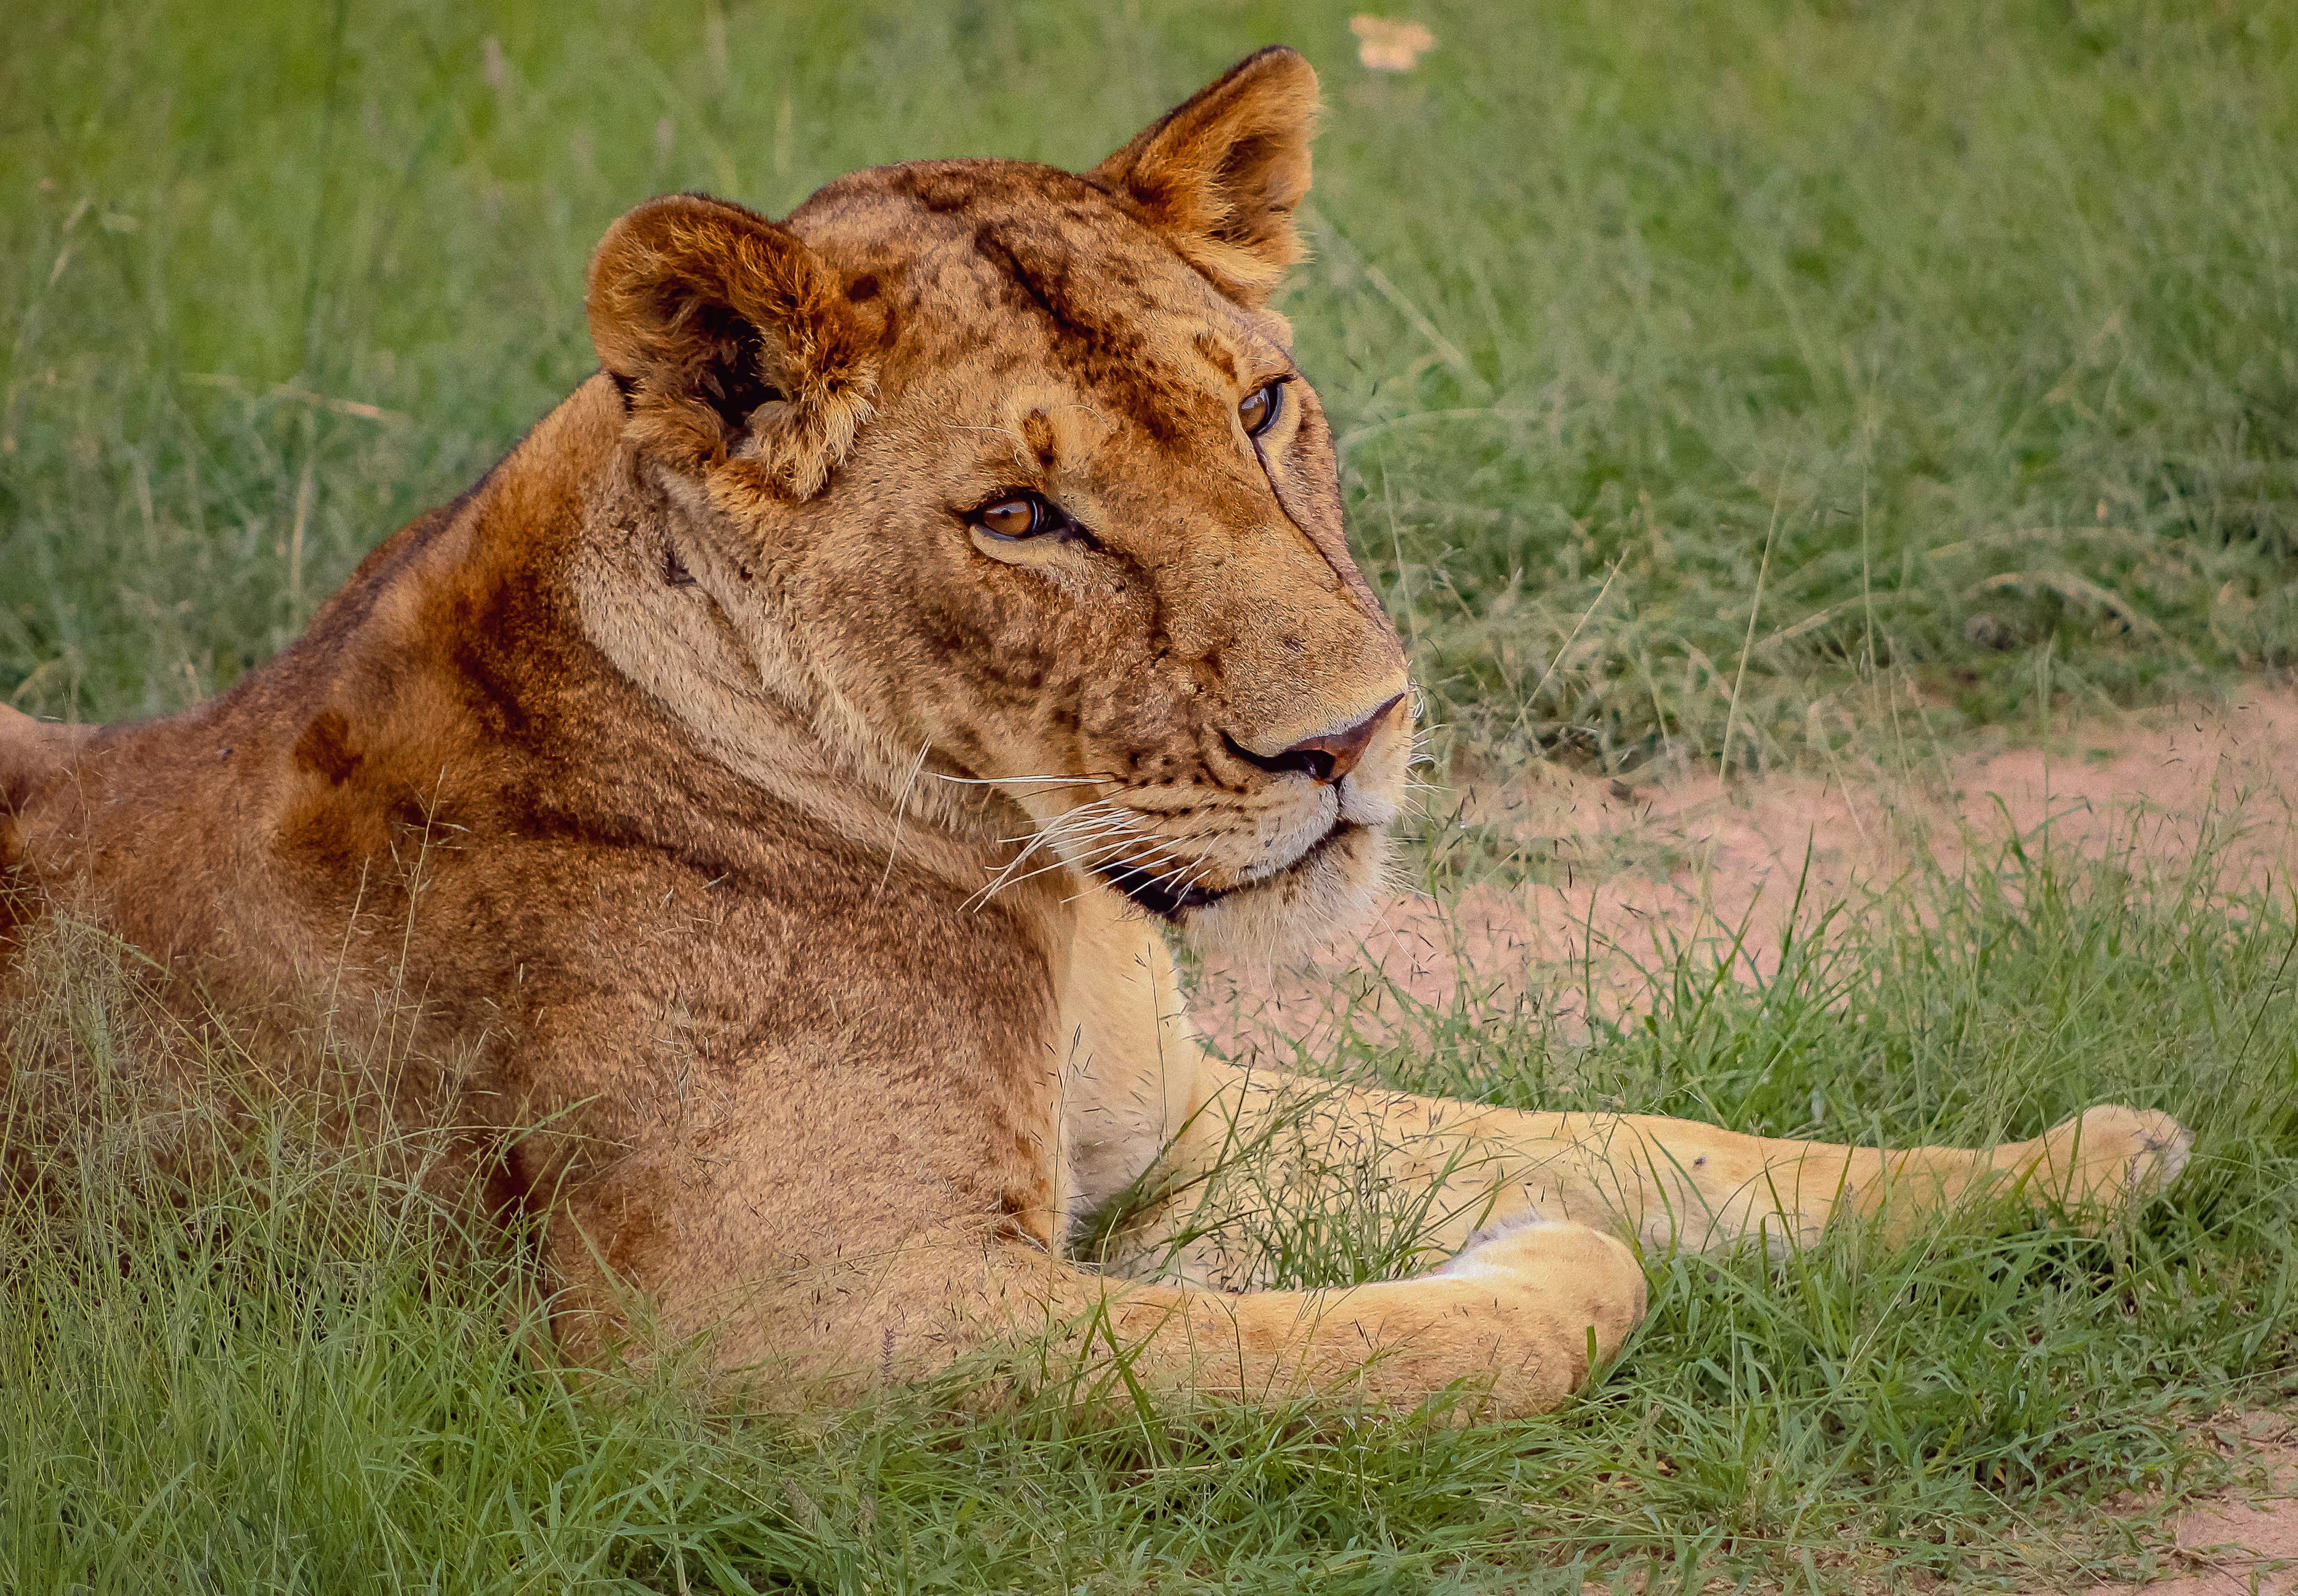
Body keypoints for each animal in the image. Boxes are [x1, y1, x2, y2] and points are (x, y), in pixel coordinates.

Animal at [0, 47, 2189, 1417]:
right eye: (1020, 518)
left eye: (1263, 405)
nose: (1356, 737)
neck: (1050, 897)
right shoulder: (788, 1321)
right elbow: (1445, 1332)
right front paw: (1518, 1264)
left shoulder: (1178, 1124)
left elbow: (1666, 1141)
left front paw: (2083, 1158)